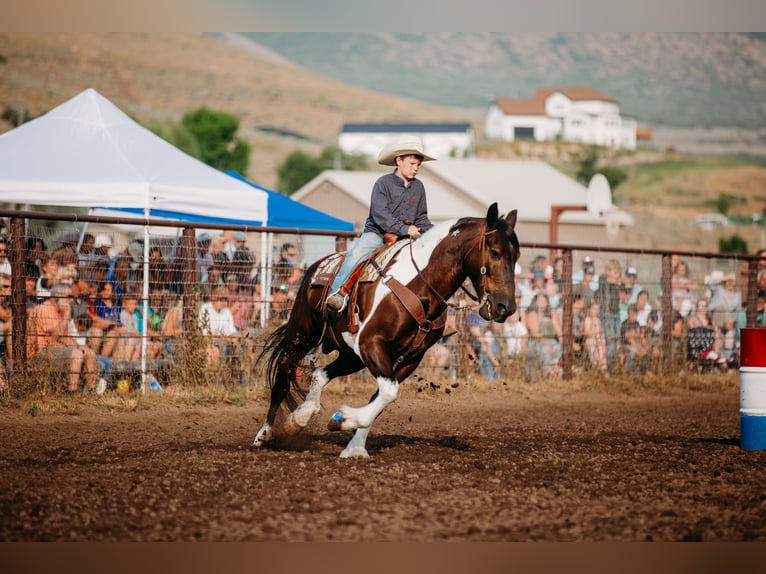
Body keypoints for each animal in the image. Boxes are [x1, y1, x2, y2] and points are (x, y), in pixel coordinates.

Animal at [252, 202, 520, 460]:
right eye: (494, 252)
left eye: (516, 256)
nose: (505, 307)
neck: (420, 285)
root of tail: (315, 267)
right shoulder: (371, 344)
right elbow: (389, 392)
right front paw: (344, 418)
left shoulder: (408, 359)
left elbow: (381, 399)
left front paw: (354, 445)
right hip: (301, 335)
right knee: (282, 377)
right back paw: (265, 434)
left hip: (352, 355)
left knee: (320, 374)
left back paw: (301, 416)